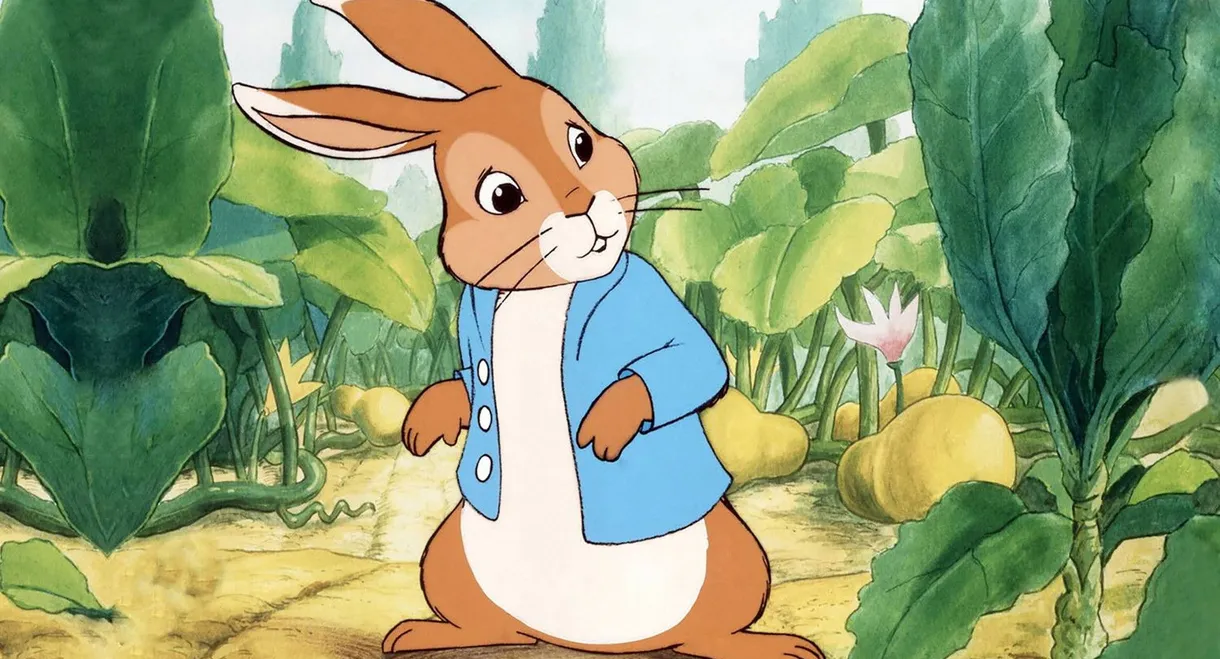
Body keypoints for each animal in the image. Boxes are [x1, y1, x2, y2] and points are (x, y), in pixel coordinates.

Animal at [232, 2, 823, 658]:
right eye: (501, 194)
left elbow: (693, 361)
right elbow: (467, 377)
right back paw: (423, 632)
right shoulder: (471, 318)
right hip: (449, 556)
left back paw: (769, 645)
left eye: (581, 142)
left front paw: (609, 423)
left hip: (733, 559)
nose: (585, 205)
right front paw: (429, 419)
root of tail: (574, 639)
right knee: (485, 620)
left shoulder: (648, 294)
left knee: (713, 628)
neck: (540, 293)